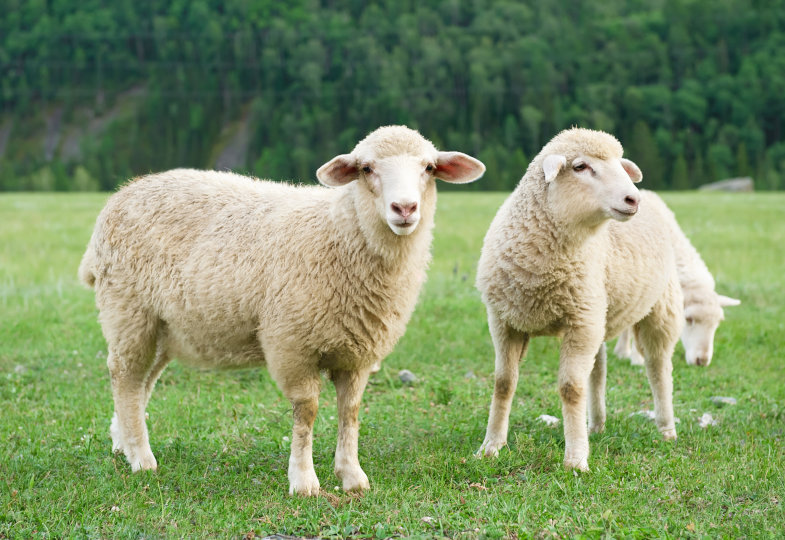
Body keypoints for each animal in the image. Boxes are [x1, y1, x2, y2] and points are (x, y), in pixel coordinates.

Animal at [79, 125, 484, 494]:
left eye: (429, 167)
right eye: (366, 168)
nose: (405, 208)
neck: (340, 233)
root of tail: (122, 195)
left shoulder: (358, 352)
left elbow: (350, 411)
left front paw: (352, 476)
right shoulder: (292, 344)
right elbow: (307, 412)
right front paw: (304, 481)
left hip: (164, 326)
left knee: (141, 383)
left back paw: (123, 442)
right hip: (128, 311)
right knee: (125, 377)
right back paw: (141, 458)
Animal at [474, 129, 684, 470]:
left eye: (620, 165)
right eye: (580, 167)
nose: (632, 199)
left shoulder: (579, 322)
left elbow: (571, 388)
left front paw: (575, 459)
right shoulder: (504, 321)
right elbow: (503, 383)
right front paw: (491, 446)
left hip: (659, 308)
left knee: (658, 368)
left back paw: (666, 429)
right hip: (599, 313)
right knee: (598, 371)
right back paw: (595, 425)